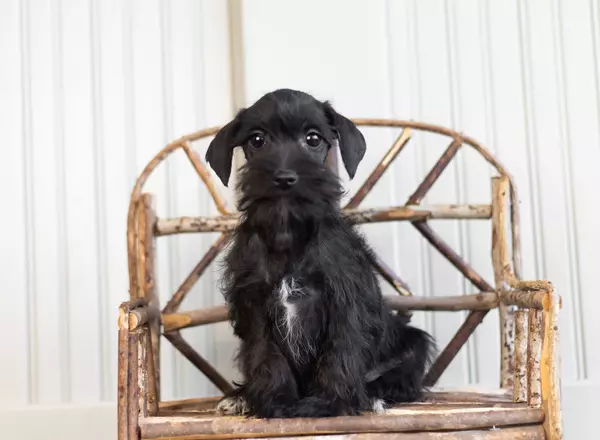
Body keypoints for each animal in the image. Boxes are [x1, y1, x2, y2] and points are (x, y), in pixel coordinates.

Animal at [205, 89, 432, 420]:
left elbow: (340, 354)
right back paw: (241, 397)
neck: (289, 232)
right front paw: (275, 401)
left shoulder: (344, 302)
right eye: (257, 140)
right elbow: (266, 356)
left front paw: (329, 403)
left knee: (402, 377)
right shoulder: (256, 304)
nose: (284, 177)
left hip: (413, 343)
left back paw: (374, 395)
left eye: (313, 139)